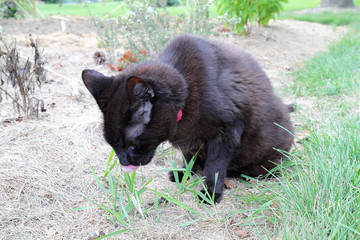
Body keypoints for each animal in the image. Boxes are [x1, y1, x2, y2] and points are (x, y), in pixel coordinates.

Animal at [83, 34, 294, 202]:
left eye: (132, 146)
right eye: (113, 146)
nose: (124, 163)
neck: (186, 90)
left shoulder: (227, 132)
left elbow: (215, 167)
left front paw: (210, 192)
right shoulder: (190, 140)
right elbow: (188, 156)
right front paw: (184, 173)